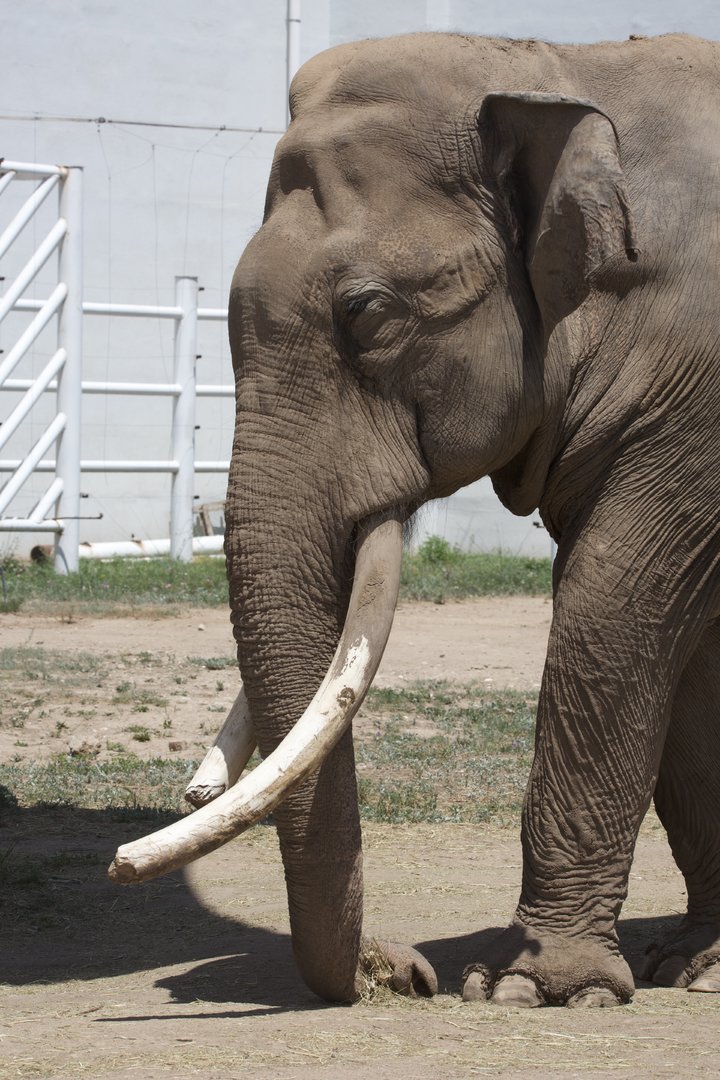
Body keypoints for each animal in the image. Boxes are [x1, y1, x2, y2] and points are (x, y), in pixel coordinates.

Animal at [110, 31, 720, 1009]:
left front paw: (531, 990)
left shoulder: (697, 393)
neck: (557, 65)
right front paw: (690, 965)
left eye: (368, 314)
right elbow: (686, 640)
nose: (399, 970)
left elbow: (615, 599)